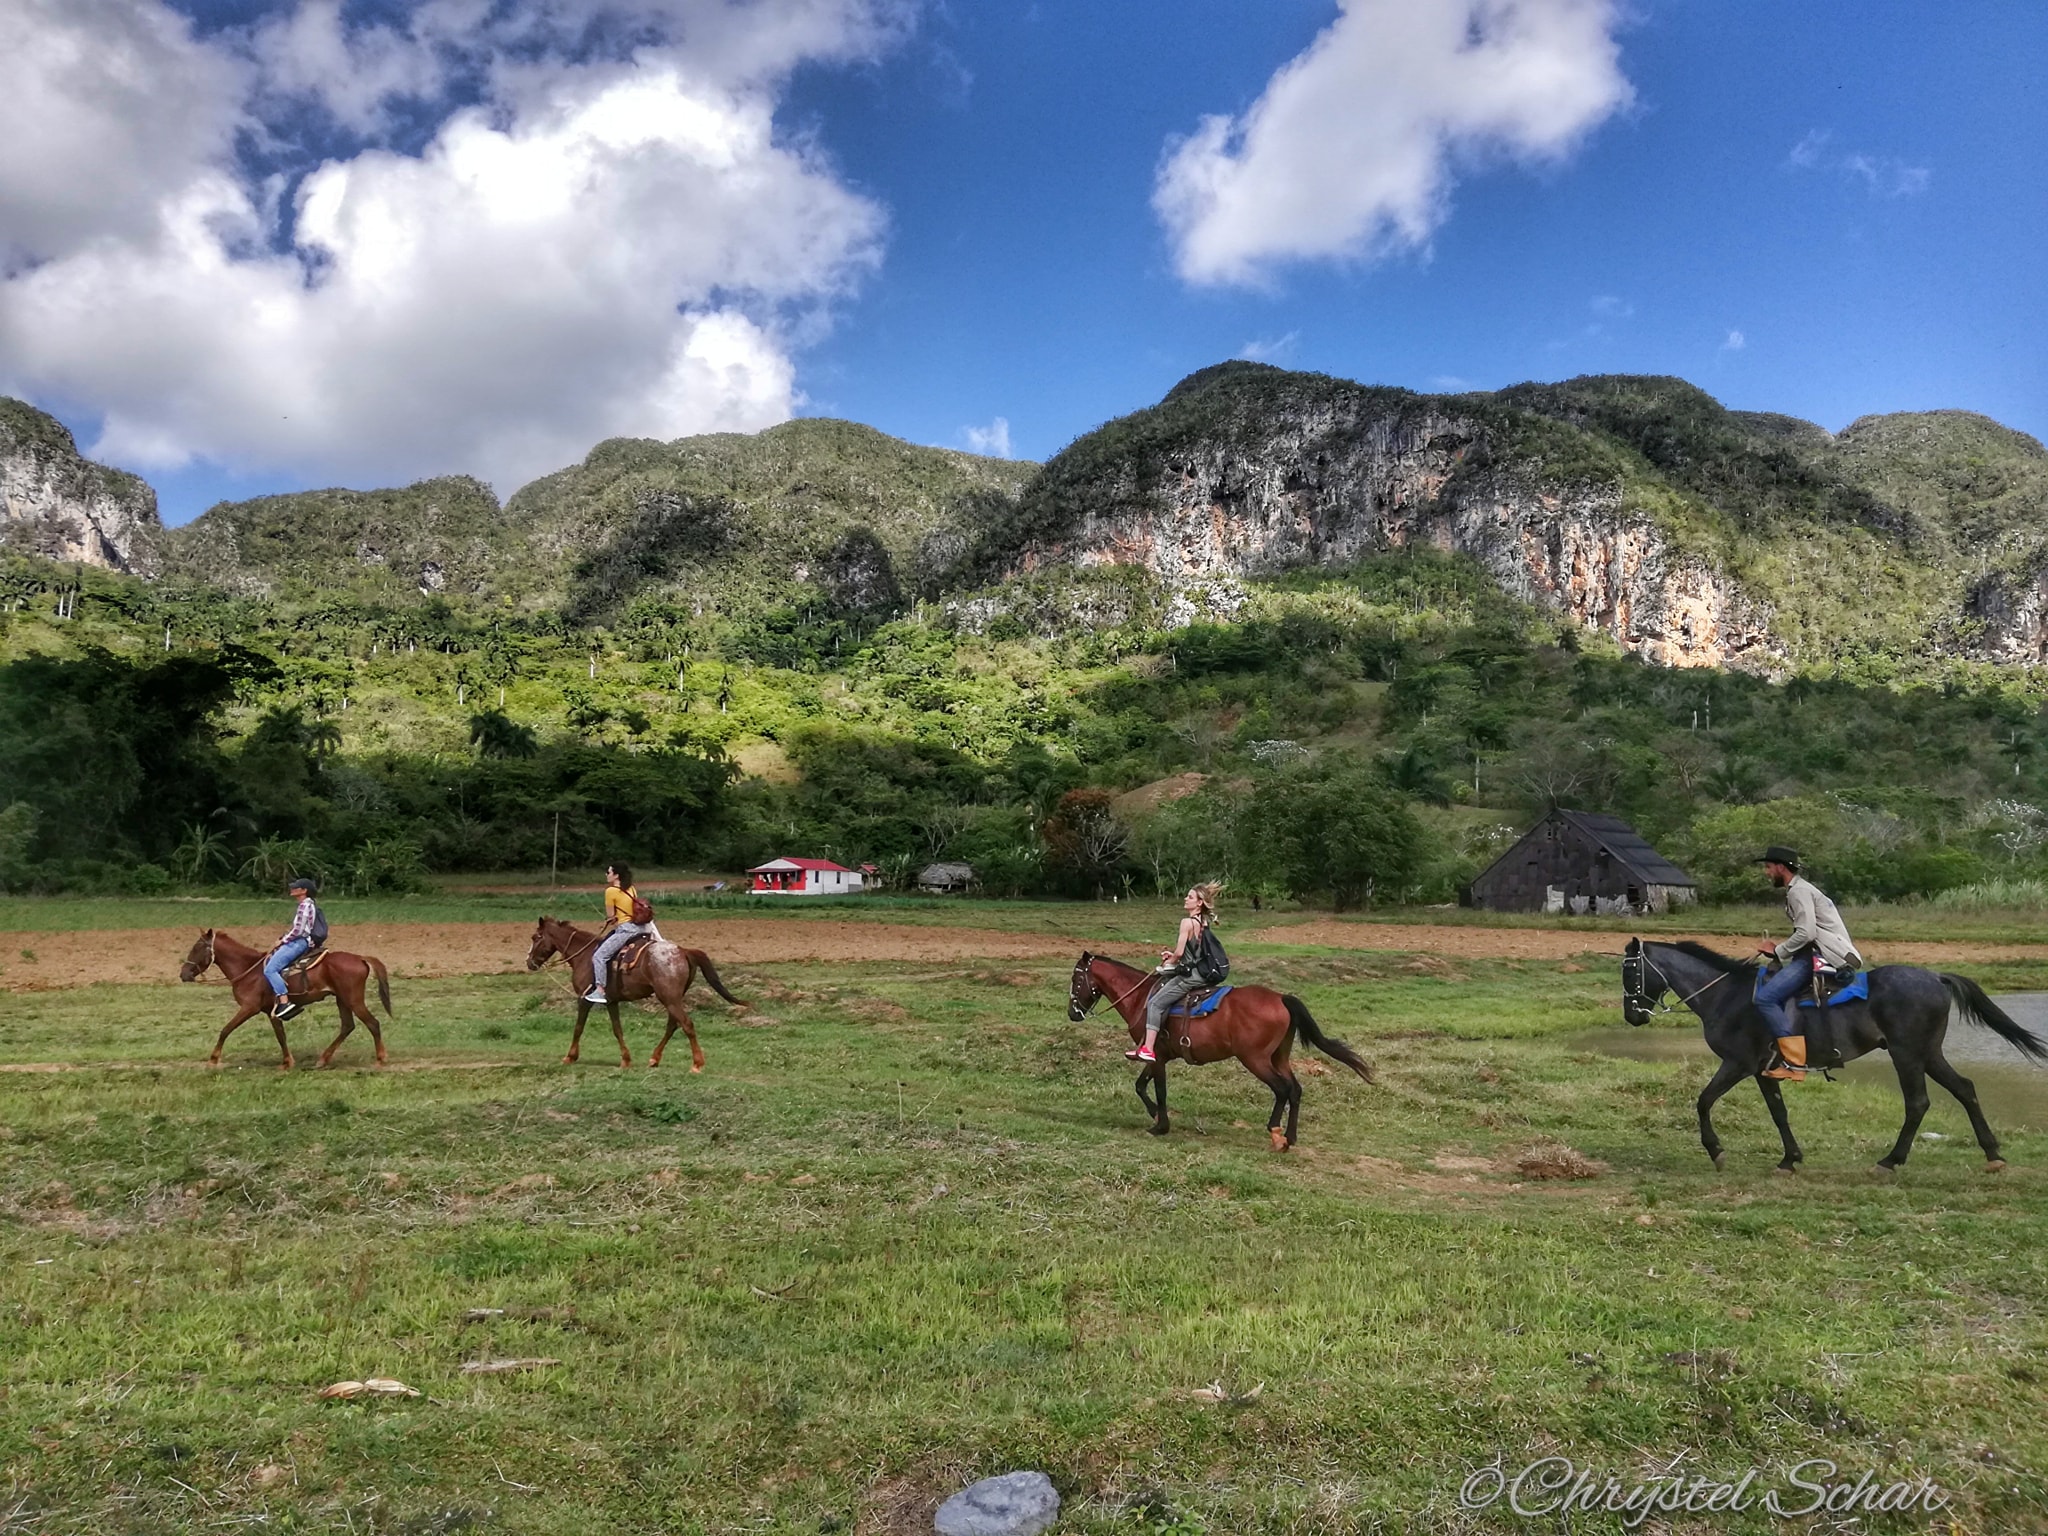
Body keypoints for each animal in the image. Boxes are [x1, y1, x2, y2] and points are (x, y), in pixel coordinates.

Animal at [178, 929, 393, 1070]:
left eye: (197, 947)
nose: (183, 974)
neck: (249, 970)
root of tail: (360, 958)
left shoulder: (249, 1008)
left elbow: (226, 1029)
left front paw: (213, 1059)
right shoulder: (271, 1012)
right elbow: (280, 1035)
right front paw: (287, 1062)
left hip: (353, 999)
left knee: (372, 1023)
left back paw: (380, 1059)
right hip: (342, 999)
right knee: (347, 1026)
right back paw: (322, 1060)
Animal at [524, 916, 748, 1070]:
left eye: (536, 937)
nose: (529, 962)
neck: (586, 955)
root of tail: (683, 950)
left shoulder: (584, 998)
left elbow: (578, 1027)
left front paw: (570, 1056)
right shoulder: (611, 1001)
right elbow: (617, 1029)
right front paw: (625, 1060)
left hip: (669, 998)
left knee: (686, 1024)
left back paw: (697, 1063)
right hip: (673, 998)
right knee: (673, 1024)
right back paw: (655, 1058)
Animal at [1068, 952, 1374, 1150]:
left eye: (1075, 980)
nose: (1072, 1013)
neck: (1143, 999)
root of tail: (1280, 998)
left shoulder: (1158, 1057)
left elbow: (1158, 1090)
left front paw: (1161, 1124)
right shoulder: (1157, 1055)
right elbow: (1141, 1086)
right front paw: (1156, 1116)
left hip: (1255, 1059)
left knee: (1282, 1089)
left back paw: (1276, 1135)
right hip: (1279, 1056)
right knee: (1295, 1090)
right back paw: (1291, 1136)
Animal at [1621, 938, 2048, 1174]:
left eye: (1630, 973)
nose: (1631, 1015)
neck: (1727, 996)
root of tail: (1937, 977)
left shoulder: (1738, 1064)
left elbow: (1704, 1101)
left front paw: (1716, 1151)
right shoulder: (1762, 1070)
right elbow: (1778, 1112)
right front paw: (1790, 1158)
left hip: (1907, 1053)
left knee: (1918, 1102)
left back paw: (1890, 1161)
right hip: (1929, 1053)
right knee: (1965, 1089)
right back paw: (1992, 1154)